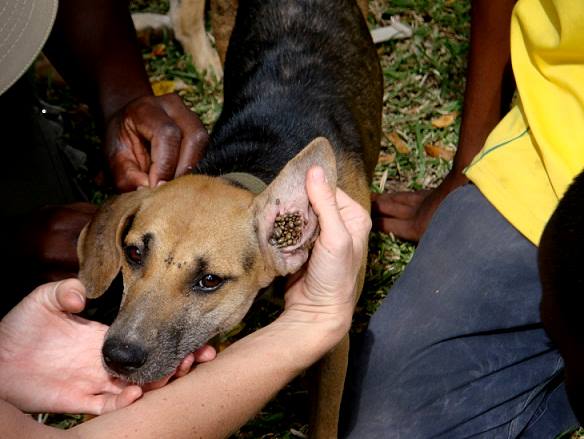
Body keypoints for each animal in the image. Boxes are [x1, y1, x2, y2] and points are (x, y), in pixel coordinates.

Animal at [82, 0, 384, 436]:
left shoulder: (334, 343)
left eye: (209, 280)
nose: (119, 356)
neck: (254, 163)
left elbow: (324, 421)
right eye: (134, 253)